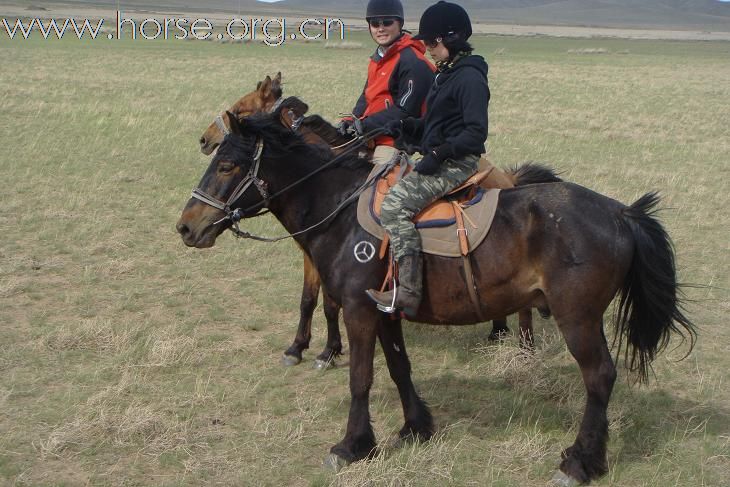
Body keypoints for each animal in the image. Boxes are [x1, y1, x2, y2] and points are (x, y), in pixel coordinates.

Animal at [176, 113, 692, 484]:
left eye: (227, 165)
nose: (186, 227)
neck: (341, 211)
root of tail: (621, 213)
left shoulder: (359, 311)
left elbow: (360, 378)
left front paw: (352, 446)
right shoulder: (385, 311)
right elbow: (400, 368)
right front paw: (416, 427)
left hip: (577, 319)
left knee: (599, 377)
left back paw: (580, 462)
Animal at [196, 78, 548, 370]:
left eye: (240, 111)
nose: (203, 139)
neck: (327, 186)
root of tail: (506, 177)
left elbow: (329, 303)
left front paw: (328, 351)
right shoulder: (310, 252)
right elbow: (309, 299)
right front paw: (298, 347)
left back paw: (521, 346)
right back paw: (498, 330)